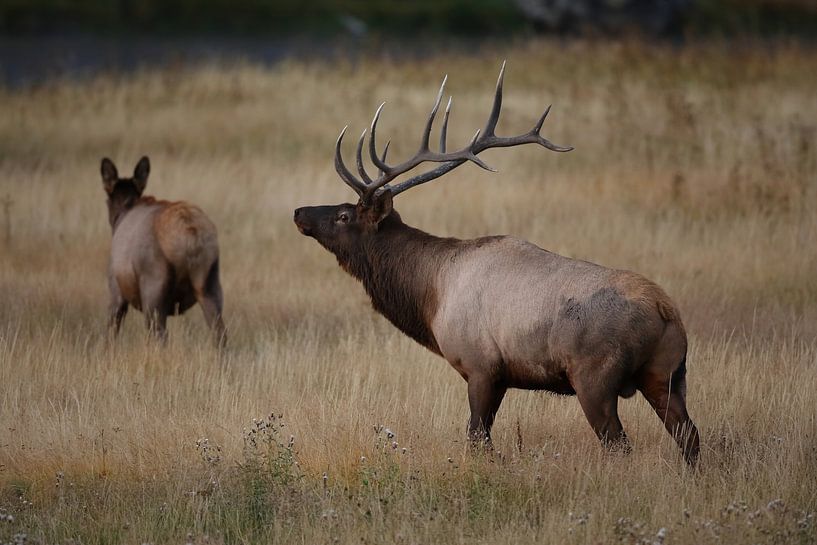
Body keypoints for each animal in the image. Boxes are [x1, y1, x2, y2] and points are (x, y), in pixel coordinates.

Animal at [101, 156, 226, 348]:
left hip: (153, 288)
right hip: (210, 282)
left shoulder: (115, 289)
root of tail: (190, 237)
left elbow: (111, 332)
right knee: (220, 334)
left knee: (159, 336)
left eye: (107, 200)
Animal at [293, 63, 700, 465]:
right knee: (690, 436)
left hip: (595, 377)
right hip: (667, 374)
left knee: (619, 444)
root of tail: (666, 311)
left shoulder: (481, 367)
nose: (299, 212)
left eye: (344, 215)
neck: (430, 296)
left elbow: (478, 439)